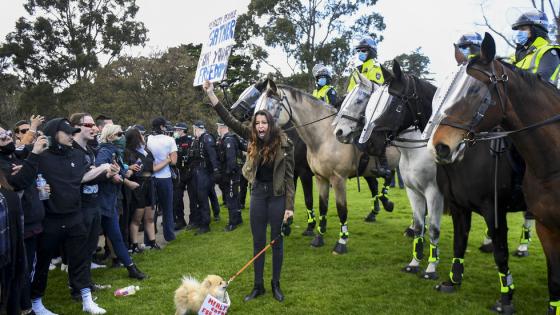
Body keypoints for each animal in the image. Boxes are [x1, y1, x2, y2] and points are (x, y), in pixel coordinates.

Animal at [428, 32, 560, 314]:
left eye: (475, 90)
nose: (440, 146)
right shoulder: (460, 207)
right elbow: (459, 241)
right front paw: (453, 281)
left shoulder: (494, 210)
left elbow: (501, 253)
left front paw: (506, 298)